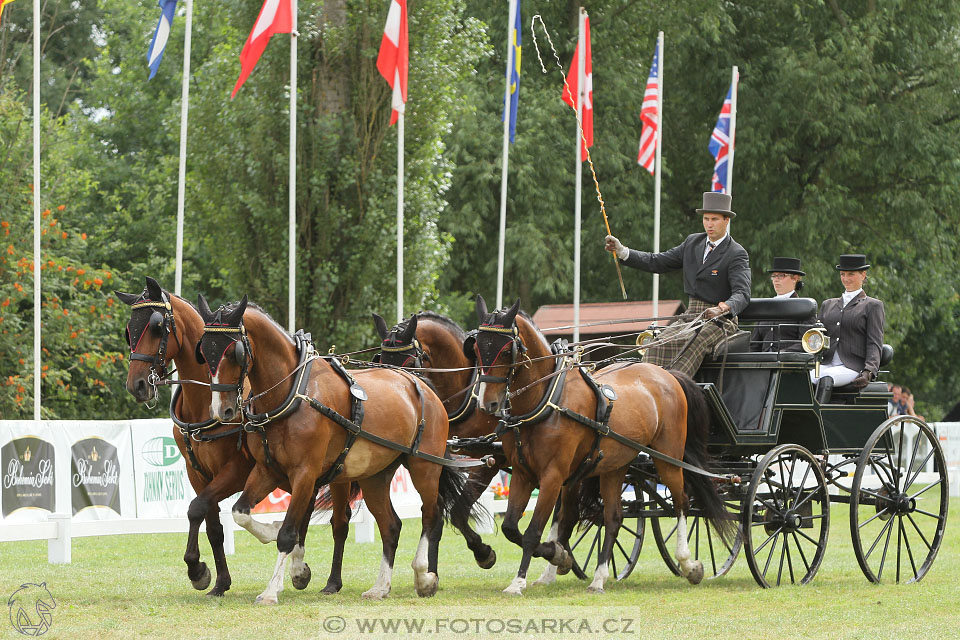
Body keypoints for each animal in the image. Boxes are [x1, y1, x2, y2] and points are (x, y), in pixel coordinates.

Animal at [116, 278, 280, 596]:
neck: (207, 399)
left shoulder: (237, 470)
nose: (136, 385)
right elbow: (211, 524)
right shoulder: (198, 473)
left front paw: (197, 569)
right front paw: (218, 581)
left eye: (157, 326)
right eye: (129, 330)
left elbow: (195, 509)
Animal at [196, 298, 476, 604]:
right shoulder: (267, 470)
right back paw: (381, 587)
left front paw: (271, 590)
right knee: (391, 526)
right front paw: (272, 534)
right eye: (204, 352)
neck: (292, 393)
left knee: (431, 513)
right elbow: (241, 513)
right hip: (374, 476)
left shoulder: (305, 474)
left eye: (233, 352)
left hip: (423, 466)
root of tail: (422, 385)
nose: (223, 410)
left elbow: (288, 533)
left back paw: (424, 576)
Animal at [372, 312, 498, 568]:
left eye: (411, 363)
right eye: (381, 360)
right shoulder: (436, 460)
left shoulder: (489, 460)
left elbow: (455, 511)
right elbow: (441, 514)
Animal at [470, 296, 728, 596]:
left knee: (682, 502)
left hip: (668, 458)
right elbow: (512, 527)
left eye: (506, 350)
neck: (547, 400)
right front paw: (558, 556)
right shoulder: (524, 474)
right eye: (476, 347)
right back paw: (599, 577)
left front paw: (521, 579)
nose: (488, 403)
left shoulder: (553, 476)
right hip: (615, 467)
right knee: (613, 518)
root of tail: (667, 374)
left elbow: (533, 531)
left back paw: (688, 564)